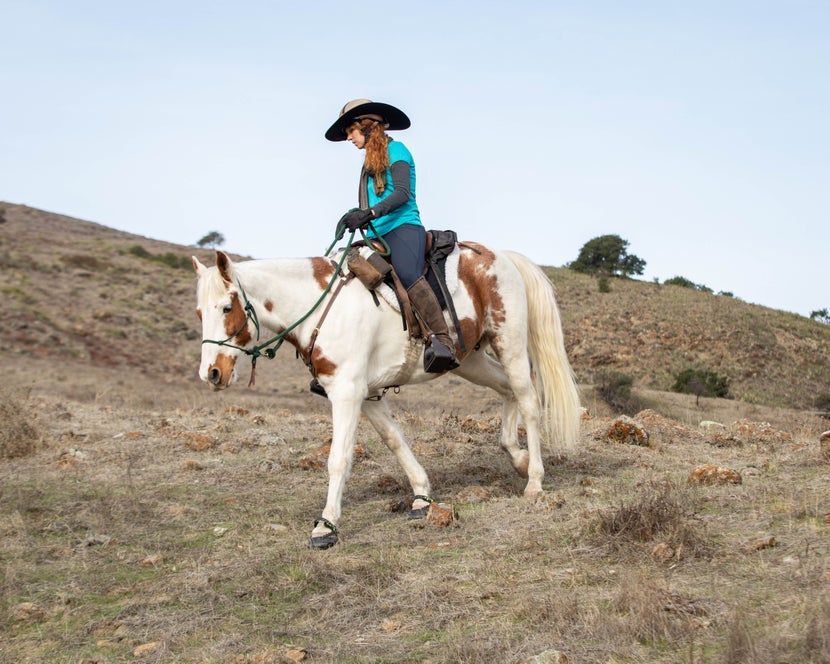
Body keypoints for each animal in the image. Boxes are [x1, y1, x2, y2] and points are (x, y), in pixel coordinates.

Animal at [192, 241, 580, 548]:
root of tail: (504, 257)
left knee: (529, 401)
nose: (211, 373)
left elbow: (339, 459)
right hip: (469, 361)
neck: (318, 307)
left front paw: (326, 526)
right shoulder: (369, 394)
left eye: (226, 307)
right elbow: (395, 441)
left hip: (508, 345)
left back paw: (534, 480)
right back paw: (517, 456)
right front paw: (422, 496)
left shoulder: (346, 393)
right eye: (199, 312)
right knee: (506, 388)